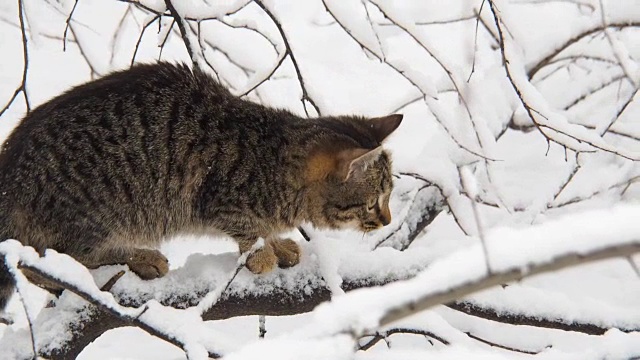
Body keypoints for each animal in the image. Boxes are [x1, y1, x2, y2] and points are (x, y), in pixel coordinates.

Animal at [0, 62, 400, 312]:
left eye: (389, 196)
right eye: (372, 202)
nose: (388, 220)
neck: (275, 164)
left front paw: (278, 244)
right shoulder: (218, 201)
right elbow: (248, 230)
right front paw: (262, 252)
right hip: (100, 213)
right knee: (48, 263)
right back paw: (139, 257)